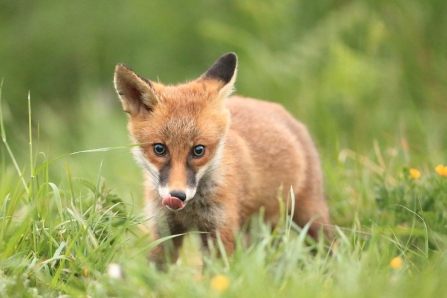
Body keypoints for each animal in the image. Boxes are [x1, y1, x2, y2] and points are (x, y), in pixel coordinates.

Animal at [114, 52, 332, 266]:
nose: (177, 195)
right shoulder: (164, 228)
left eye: (198, 150)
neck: (190, 210)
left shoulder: (220, 230)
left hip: (309, 216)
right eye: (159, 149)